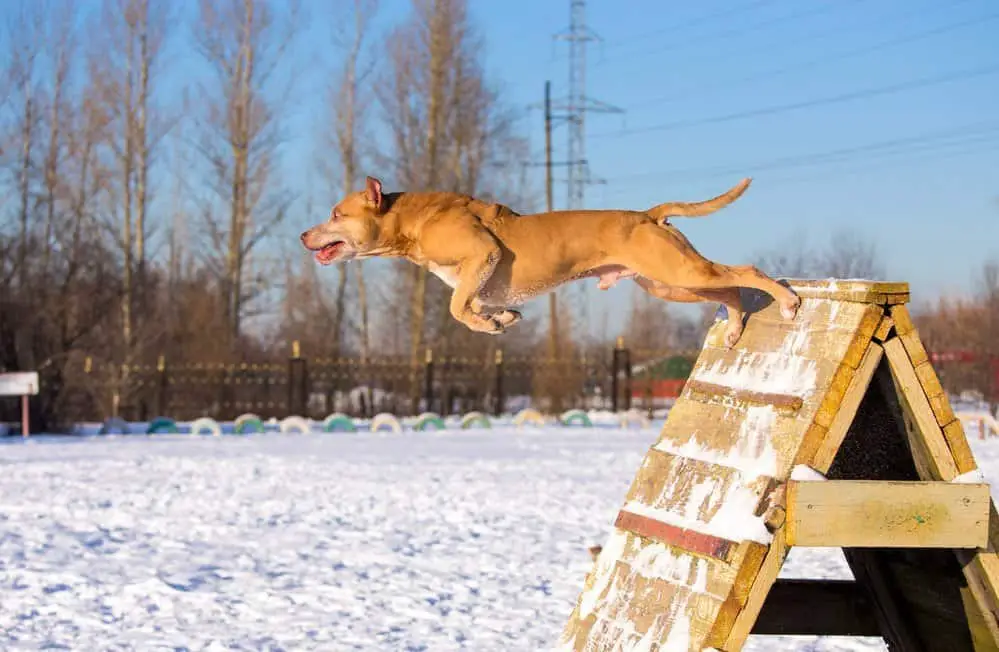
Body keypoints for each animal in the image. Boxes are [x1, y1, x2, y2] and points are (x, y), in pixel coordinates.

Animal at [300, 176, 800, 344]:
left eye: (335, 214)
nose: (304, 233)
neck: (413, 218)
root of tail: (647, 214)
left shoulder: (483, 254)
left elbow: (457, 309)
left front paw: (488, 324)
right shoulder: (478, 279)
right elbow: (472, 303)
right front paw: (502, 319)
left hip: (678, 271)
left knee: (747, 272)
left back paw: (788, 301)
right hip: (671, 283)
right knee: (730, 287)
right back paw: (733, 328)